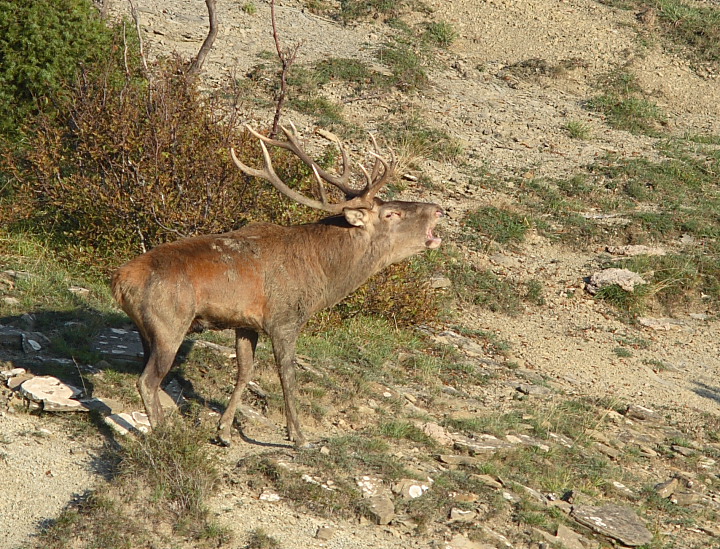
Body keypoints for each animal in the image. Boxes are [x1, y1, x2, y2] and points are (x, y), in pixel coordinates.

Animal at [112, 125, 442, 450]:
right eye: (392, 214)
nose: (438, 209)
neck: (323, 278)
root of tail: (119, 280)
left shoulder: (246, 324)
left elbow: (245, 371)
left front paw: (224, 432)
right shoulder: (284, 318)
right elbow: (287, 374)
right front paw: (299, 437)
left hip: (147, 329)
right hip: (170, 322)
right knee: (147, 381)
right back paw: (164, 434)